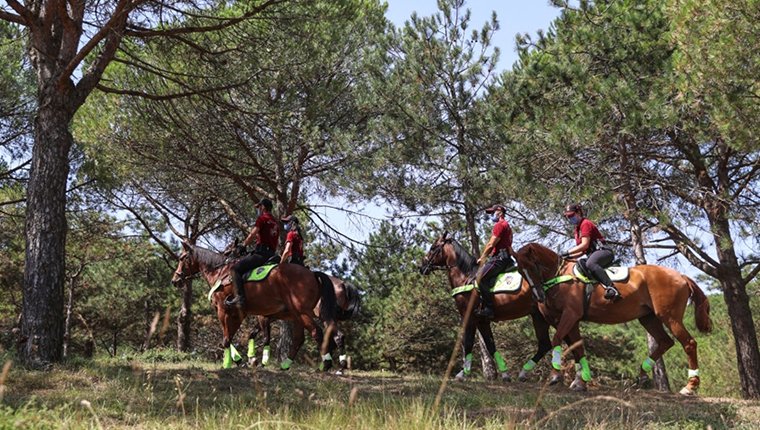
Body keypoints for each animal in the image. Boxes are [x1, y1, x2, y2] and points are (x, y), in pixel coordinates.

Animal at [174, 242, 340, 370]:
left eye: (182, 258)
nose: (175, 280)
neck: (220, 273)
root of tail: (312, 274)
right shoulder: (239, 314)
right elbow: (231, 336)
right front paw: (243, 359)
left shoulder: (223, 310)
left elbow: (227, 338)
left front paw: (229, 362)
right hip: (296, 314)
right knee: (300, 338)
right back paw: (286, 364)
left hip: (302, 312)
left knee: (317, 332)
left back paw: (325, 364)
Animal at [416, 232, 580, 382]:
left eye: (433, 248)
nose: (422, 267)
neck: (466, 277)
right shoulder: (482, 321)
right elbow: (490, 345)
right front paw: (505, 374)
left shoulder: (470, 317)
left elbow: (468, 344)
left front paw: (462, 374)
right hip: (539, 316)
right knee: (548, 344)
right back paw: (526, 373)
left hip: (549, 316)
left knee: (565, 340)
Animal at [512, 240, 708, 394]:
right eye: (520, 272)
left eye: (533, 267)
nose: (538, 297)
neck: (559, 276)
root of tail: (680, 275)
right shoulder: (571, 320)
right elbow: (578, 348)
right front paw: (581, 382)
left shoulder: (570, 315)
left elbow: (557, 339)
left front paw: (555, 376)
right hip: (648, 318)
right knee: (665, 341)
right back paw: (643, 374)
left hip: (670, 316)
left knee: (689, 343)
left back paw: (690, 386)